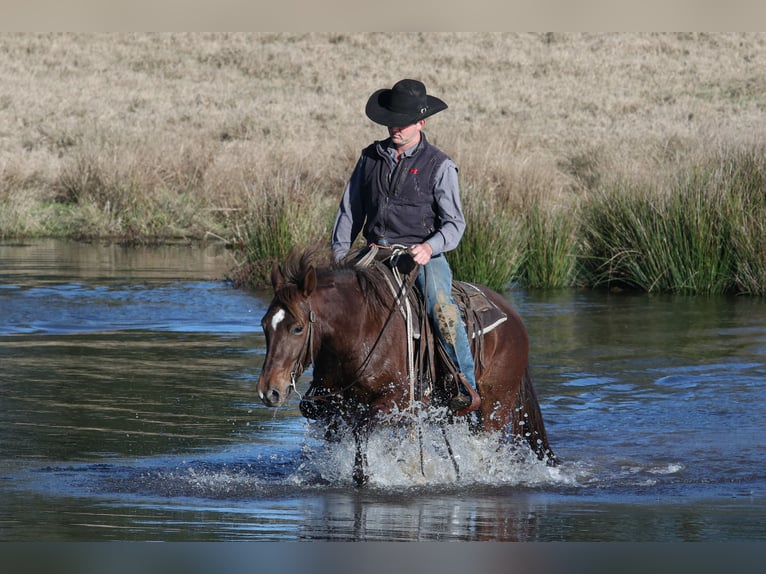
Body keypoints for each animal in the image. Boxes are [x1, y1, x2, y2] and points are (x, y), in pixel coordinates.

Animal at [258, 245, 560, 488]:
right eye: (264, 325)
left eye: (298, 328)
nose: (269, 391)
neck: (360, 331)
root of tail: (514, 317)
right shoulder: (332, 405)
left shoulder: (397, 401)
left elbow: (362, 432)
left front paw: (367, 476)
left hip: (496, 404)